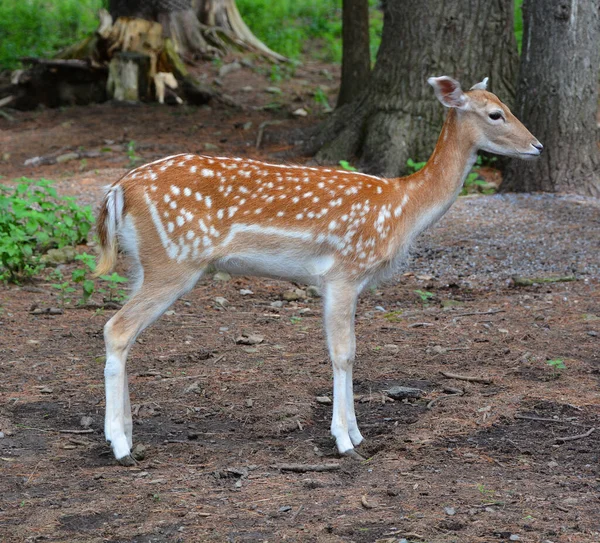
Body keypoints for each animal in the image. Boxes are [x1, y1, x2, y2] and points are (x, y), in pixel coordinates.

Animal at [95, 76, 544, 466]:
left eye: (506, 106)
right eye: (495, 114)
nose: (538, 145)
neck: (402, 207)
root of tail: (118, 189)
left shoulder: (350, 282)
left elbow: (352, 353)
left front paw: (358, 434)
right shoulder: (343, 272)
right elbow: (343, 354)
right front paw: (344, 440)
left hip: (144, 262)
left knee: (125, 333)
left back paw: (129, 433)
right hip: (174, 261)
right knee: (116, 328)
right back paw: (119, 445)